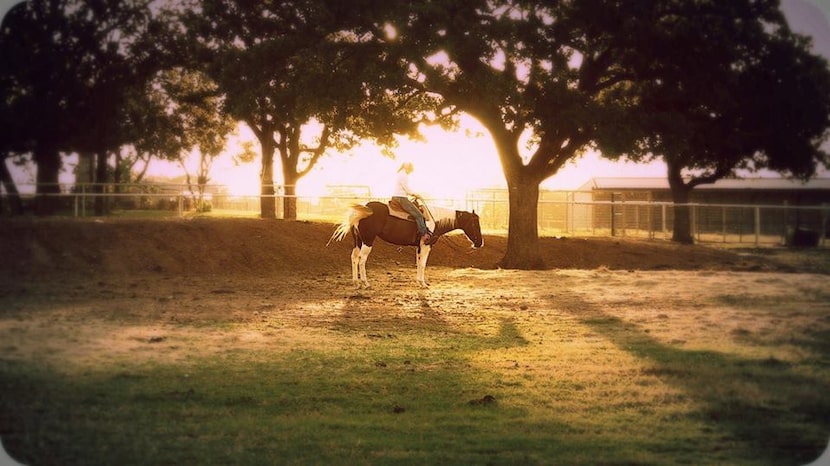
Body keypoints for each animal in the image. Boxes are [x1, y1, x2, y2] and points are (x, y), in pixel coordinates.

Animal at [330, 200, 488, 288]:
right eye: (475, 224)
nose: (480, 243)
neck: (435, 220)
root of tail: (364, 209)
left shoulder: (419, 247)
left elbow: (418, 264)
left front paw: (419, 282)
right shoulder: (426, 246)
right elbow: (423, 264)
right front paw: (423, 284)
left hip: (358, 240)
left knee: (354, 258)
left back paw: (356, 282)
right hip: (368, 241)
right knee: (362, 260)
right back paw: (365, 283)